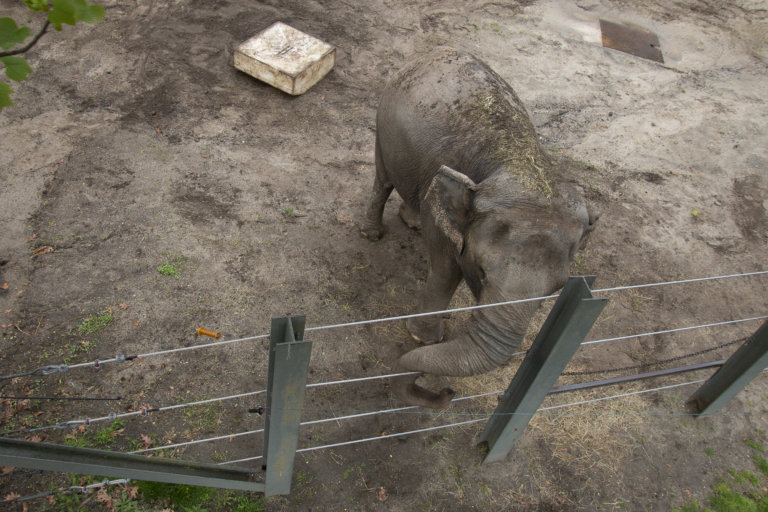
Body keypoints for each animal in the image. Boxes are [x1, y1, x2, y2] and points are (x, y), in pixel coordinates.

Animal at [364, 47, 596, 408]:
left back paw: (411, 222)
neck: (519, 161)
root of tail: (437, 51)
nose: (447, 393)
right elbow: (445, 269)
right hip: (383, 125)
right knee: (384, 179)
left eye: (556, 289)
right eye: (483, 273)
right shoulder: (443, 214)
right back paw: (372, 233)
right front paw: (424, 339)